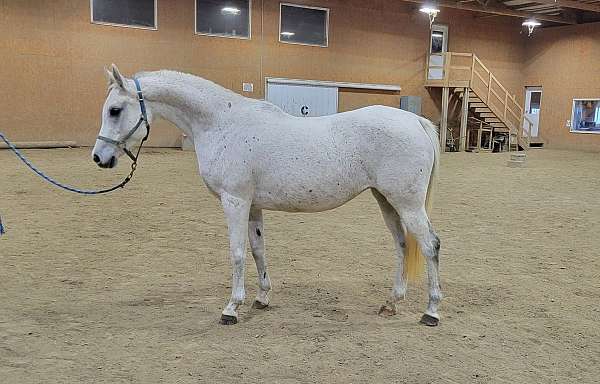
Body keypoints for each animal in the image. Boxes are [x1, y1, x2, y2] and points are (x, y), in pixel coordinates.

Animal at [92, 65, 440, 328]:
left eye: (115, 110)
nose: (99, 158)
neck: (222, 123)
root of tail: (416, 121)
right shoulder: (253, 206)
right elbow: (258, 250)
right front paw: (261, 298)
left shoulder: (235, 201)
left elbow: (237, 253)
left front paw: (231, 309)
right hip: (386, 200)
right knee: (402, 245)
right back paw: (391, 303)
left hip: (407, 203)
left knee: (429, 245)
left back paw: (431, 312)